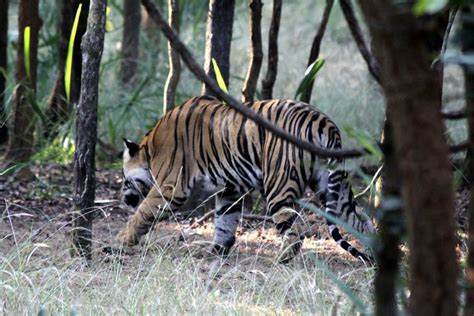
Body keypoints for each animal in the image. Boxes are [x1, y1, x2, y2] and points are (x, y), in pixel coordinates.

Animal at [117, 95, 374, 262]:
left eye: (125, 180)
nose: (125, 200)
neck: (151, 149)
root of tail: (324, 122)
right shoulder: (230, 189)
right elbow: (224, 221)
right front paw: (216, 252)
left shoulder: (170, 188)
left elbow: (143, 214)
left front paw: (123, 240)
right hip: (331, 186)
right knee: (361, 220)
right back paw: (373, 256)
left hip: (279, 186)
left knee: (294, 236)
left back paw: (281, 260)